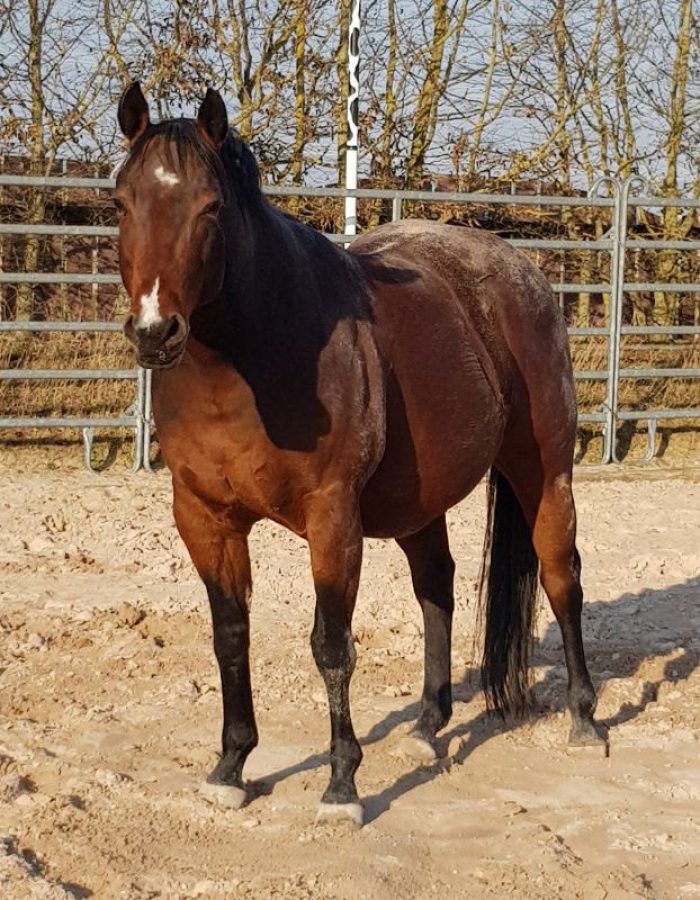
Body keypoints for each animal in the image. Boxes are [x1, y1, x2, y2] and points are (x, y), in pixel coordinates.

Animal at [114, 82, 606, 827]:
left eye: (210, 207)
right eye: (121, 202)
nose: (154, 331)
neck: (253, 357)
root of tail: (519, 269)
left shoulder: (333, 519)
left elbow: (331, 646)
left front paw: (342, 785)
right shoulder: (204, 517)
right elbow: (231, 637)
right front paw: (231, 767)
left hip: (543, 472)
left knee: (561, 578)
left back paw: (583, 719)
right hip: (419, 500)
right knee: (436, 586)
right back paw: (428, 728)